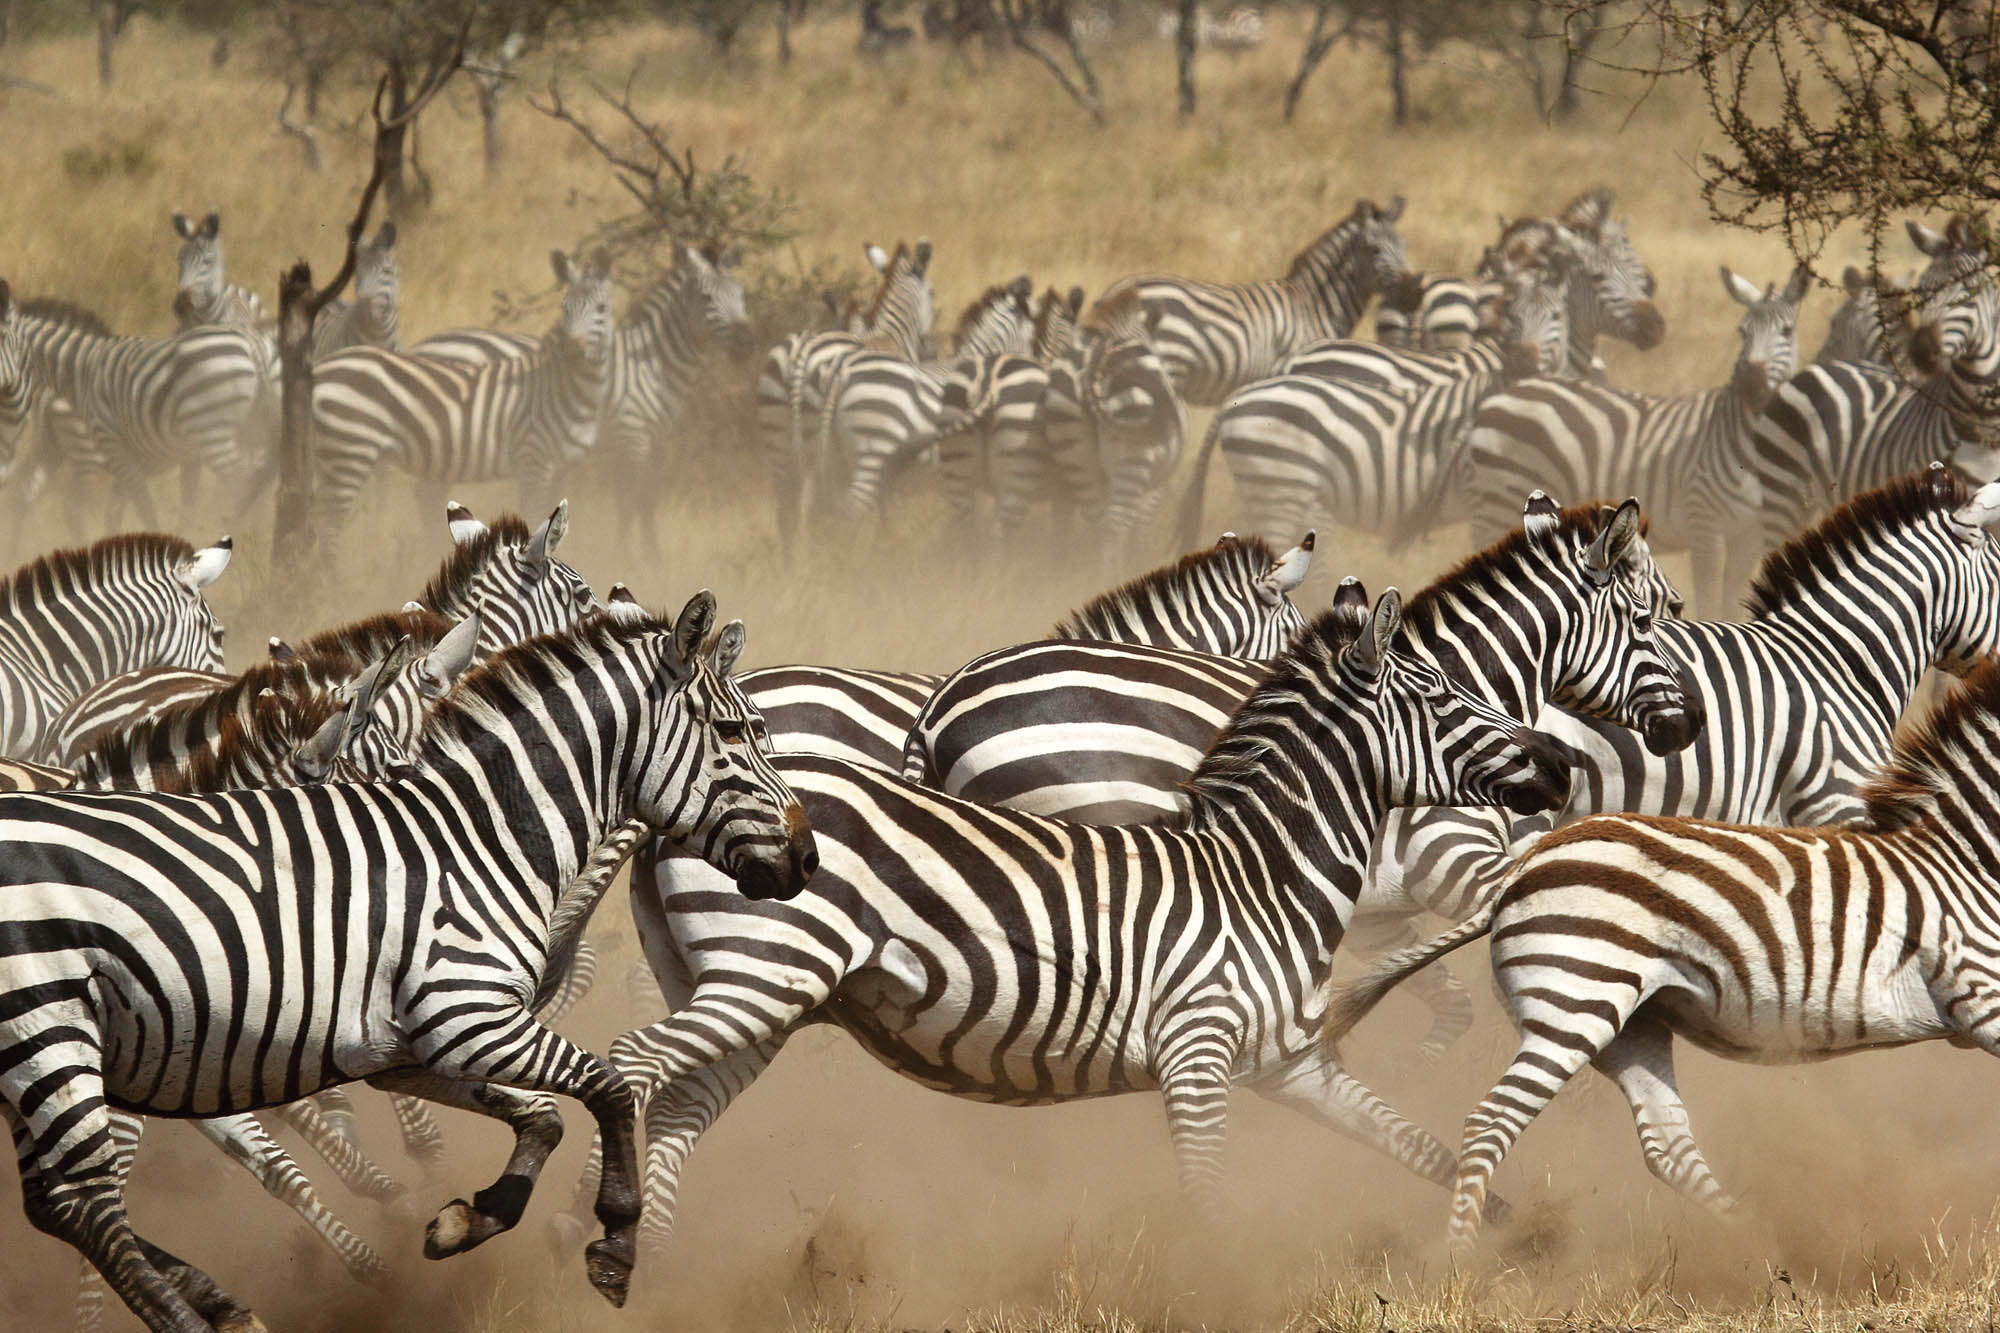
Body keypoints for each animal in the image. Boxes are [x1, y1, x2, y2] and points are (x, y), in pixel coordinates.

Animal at [0, 593, 814, 1331]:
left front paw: (465, 1221)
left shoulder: (404, 1049)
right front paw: (613, 1242)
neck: (478, 839)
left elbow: (543, 1117)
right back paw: (189, 1317)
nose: (807, 858)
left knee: (54, 1204)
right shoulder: (468, 1018)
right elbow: (607, 1087)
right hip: (53, 1034)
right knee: (84, 1200)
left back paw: (215, 1302)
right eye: (738, 732)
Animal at [309, 249, 615, 544]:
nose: (571, 351)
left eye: (601, 309)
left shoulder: (561, 470)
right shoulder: (533, 460)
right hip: (351, 450)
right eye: (565, 308)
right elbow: (536, 518)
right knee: (327, 529)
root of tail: (321, 368)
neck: (568, 389)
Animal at [557, 582, 1579, 1259]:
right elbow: (1207, 1196)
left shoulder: (1291, 1062)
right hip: (760, 973)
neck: (1261, 874)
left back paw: (655, 1263)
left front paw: (1512, 1239)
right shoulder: (1197, 1053)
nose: (1562, 765)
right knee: (633, 1065)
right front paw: (1214, 1282)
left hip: (755, 994)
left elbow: (1418, 1142)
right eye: (1443, 694)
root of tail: (669, 809)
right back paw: (599, 1228)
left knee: (677, 1104)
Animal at [1321, 649, 2000, 1252]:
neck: (1966, 859)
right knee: (1491, 1122)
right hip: (1575, 1004)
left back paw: (1764, 1254)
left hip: (1631, 1023)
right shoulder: (1981, 997)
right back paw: (1461, 1264)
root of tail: (1520, 872)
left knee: (1666, 1146)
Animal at [1447, 265, 1809, 606]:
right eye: (1742, 331)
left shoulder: (1747, 538)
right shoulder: (1705, 527)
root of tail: (1495, 399)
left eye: (1787, 331)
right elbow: (1709, 598)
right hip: (1500, 499)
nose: (1751, 386)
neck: (1743, 442)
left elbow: (1730, 599)